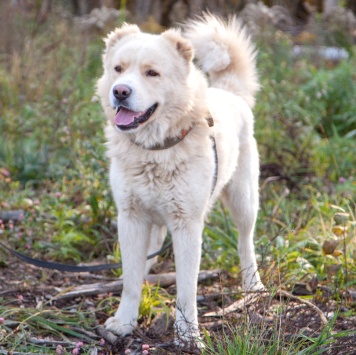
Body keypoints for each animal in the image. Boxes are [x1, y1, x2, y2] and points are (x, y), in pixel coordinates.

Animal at [96, 13, 264, 348]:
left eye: (151, 73)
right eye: (118, 69)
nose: (120, 91)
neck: (155, 150)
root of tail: (229, 93)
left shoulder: (187, 225)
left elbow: (187, 290)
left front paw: (188, 336)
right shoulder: (130, 216)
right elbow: (131, 279)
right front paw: (123, 323)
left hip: (244, 201)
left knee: (245, 242)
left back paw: (253, 285)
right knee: (149, 250)